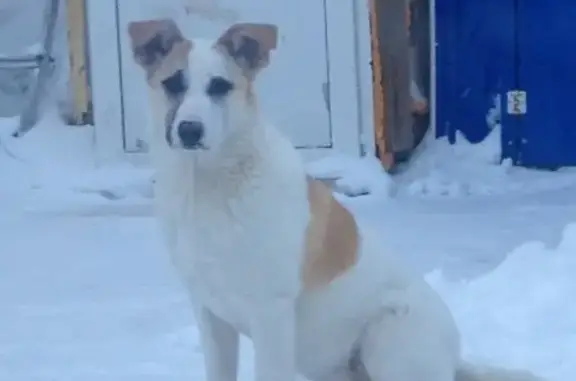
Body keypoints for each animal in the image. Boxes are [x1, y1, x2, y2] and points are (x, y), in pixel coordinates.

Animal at [126, 18, 544, 380]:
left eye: (219, 86)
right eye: (173, 83)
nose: (189, 130)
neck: (208, 186)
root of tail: (454, 360)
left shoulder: (271, 315)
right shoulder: (211, 316)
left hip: (387, 335)